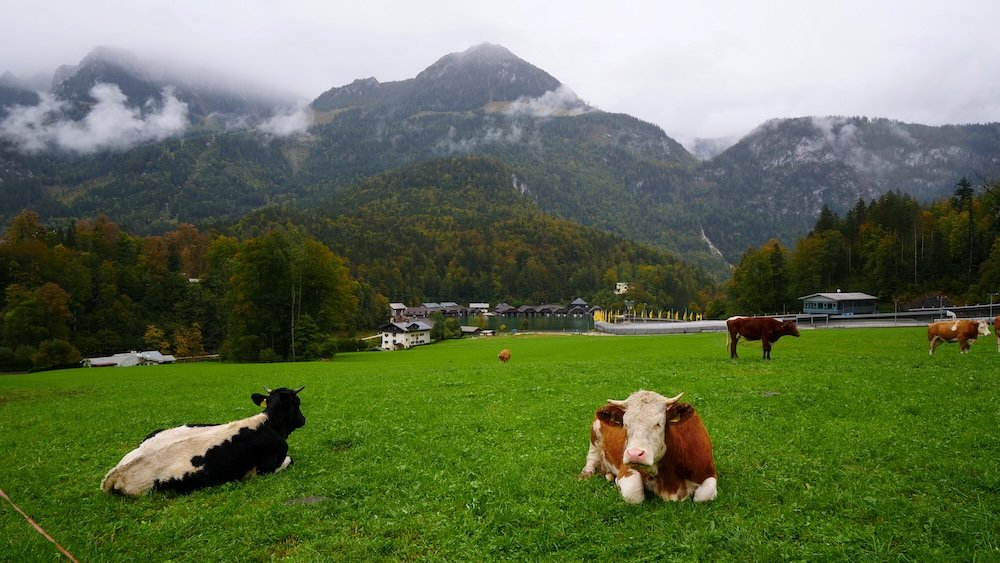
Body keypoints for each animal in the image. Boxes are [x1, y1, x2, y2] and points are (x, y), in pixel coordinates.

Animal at [102, 386, 306, 496]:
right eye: (297, 402)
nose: (303, 419)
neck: (268, 424)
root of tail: (117, 472)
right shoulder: (266, 467)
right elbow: (290, 460)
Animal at [580, 390, 720, 504]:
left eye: (658, 424)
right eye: (625, 424)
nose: (634, 454)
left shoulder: (709, 472)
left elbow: (703, 497)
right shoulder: (626, 468)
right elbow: (634, 494)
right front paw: (617, 484)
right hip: (594, 438)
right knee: (591, 459)